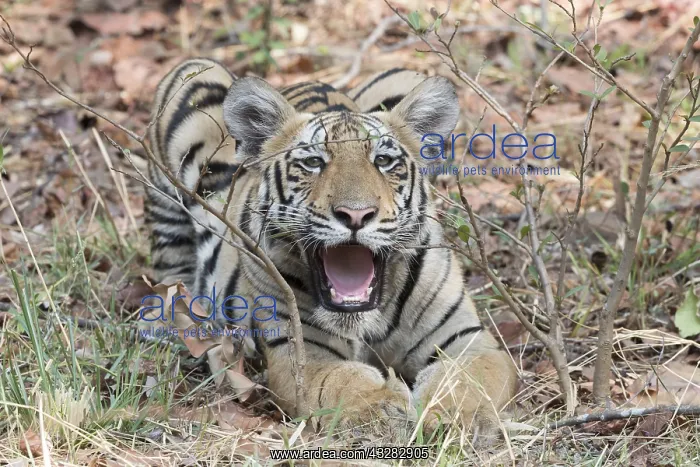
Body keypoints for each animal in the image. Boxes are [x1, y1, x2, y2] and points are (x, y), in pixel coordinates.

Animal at [145, 58, 517, 440]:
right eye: (313, 163)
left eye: (384, 161)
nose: (356, 214)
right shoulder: (301, 352)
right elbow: (344, 380)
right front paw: (381, 410)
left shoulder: (469, 340)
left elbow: (468, 379)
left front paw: (460, 419)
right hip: (191, 87)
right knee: (169, 264)